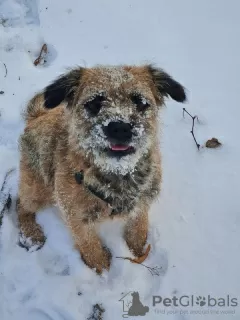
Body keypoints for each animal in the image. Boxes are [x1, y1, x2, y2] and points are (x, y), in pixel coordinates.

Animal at [17, 64, 187, 272]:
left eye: (140, 102)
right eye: (94, 103)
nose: (120, 128)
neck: (118, 175)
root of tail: (37, 117)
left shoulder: (143, 200)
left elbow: (139, 224)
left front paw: (138, 248)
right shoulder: (75, 215)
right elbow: (87, 241)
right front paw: (100, 265)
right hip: (38, 190)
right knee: (20, 204)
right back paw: (31, 233)